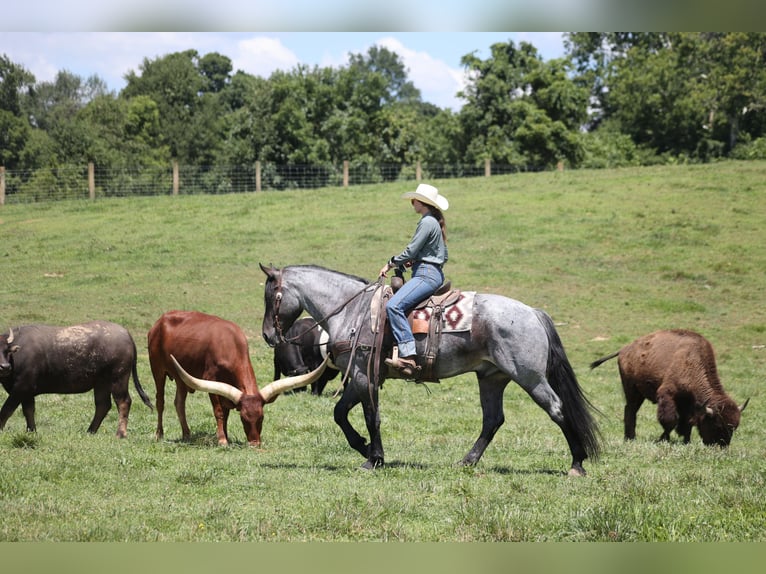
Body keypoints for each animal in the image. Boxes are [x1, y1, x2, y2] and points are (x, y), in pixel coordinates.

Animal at [259, 263, 601, 476]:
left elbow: (368, 417)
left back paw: (577, 462)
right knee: (492, 420)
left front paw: (373, 458)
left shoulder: (362, 375)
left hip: (530, 377)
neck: (353, 310)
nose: (267, 335)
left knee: (556, 409)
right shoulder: (361, 379)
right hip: (492, 378)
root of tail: (532, 312)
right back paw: (467, 461)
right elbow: (341, 414)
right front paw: (366, 448)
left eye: (271, 297)